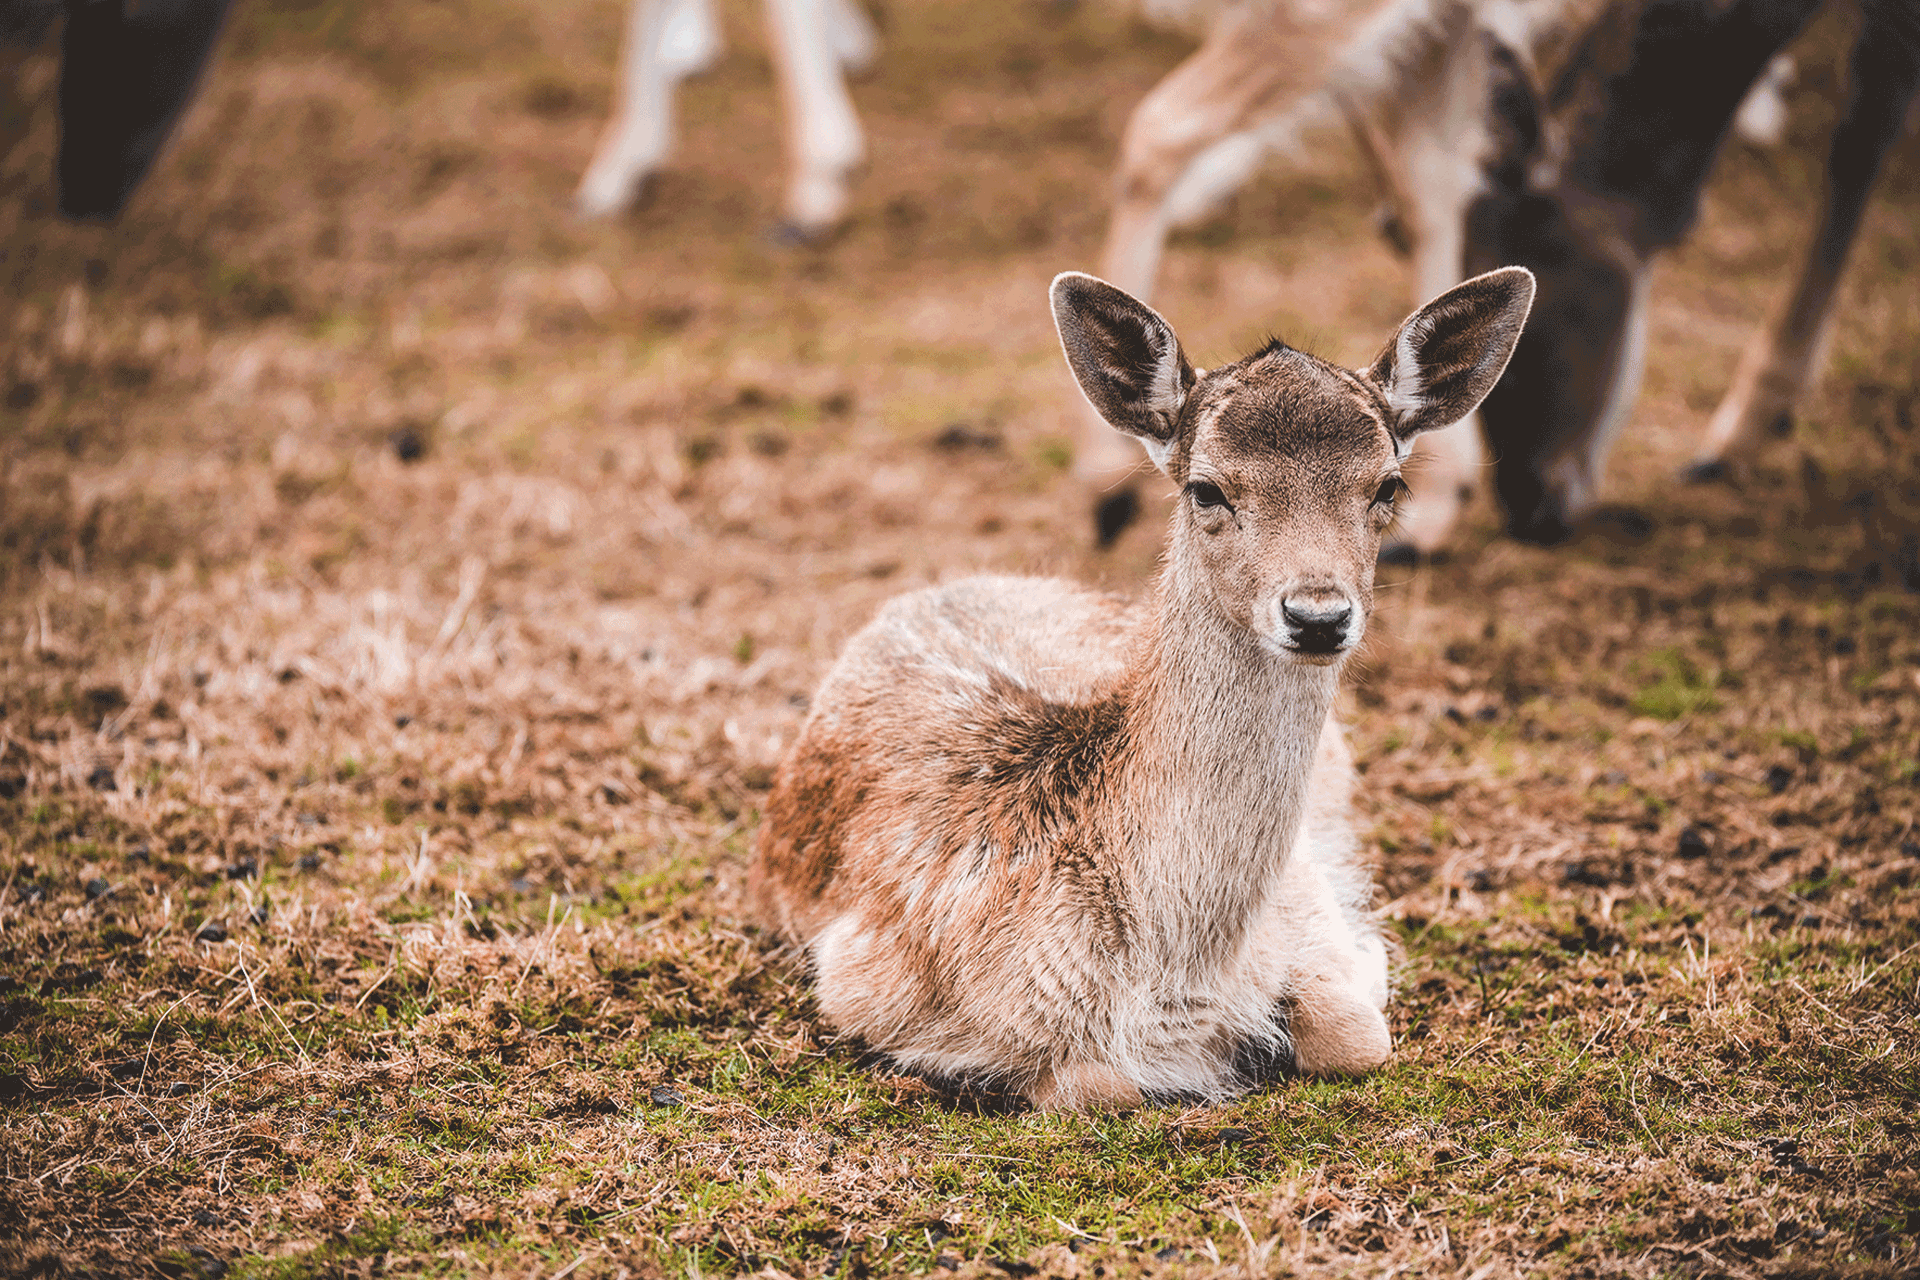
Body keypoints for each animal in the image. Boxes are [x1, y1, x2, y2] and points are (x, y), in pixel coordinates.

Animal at [749, 265, 1536, 1108]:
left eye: (1388, 486)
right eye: (1207, 490)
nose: (1318, 614)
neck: (1178, 973)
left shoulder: (1303, 894)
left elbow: (1359, 1036)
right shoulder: (863, 980)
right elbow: (1100, 1086)